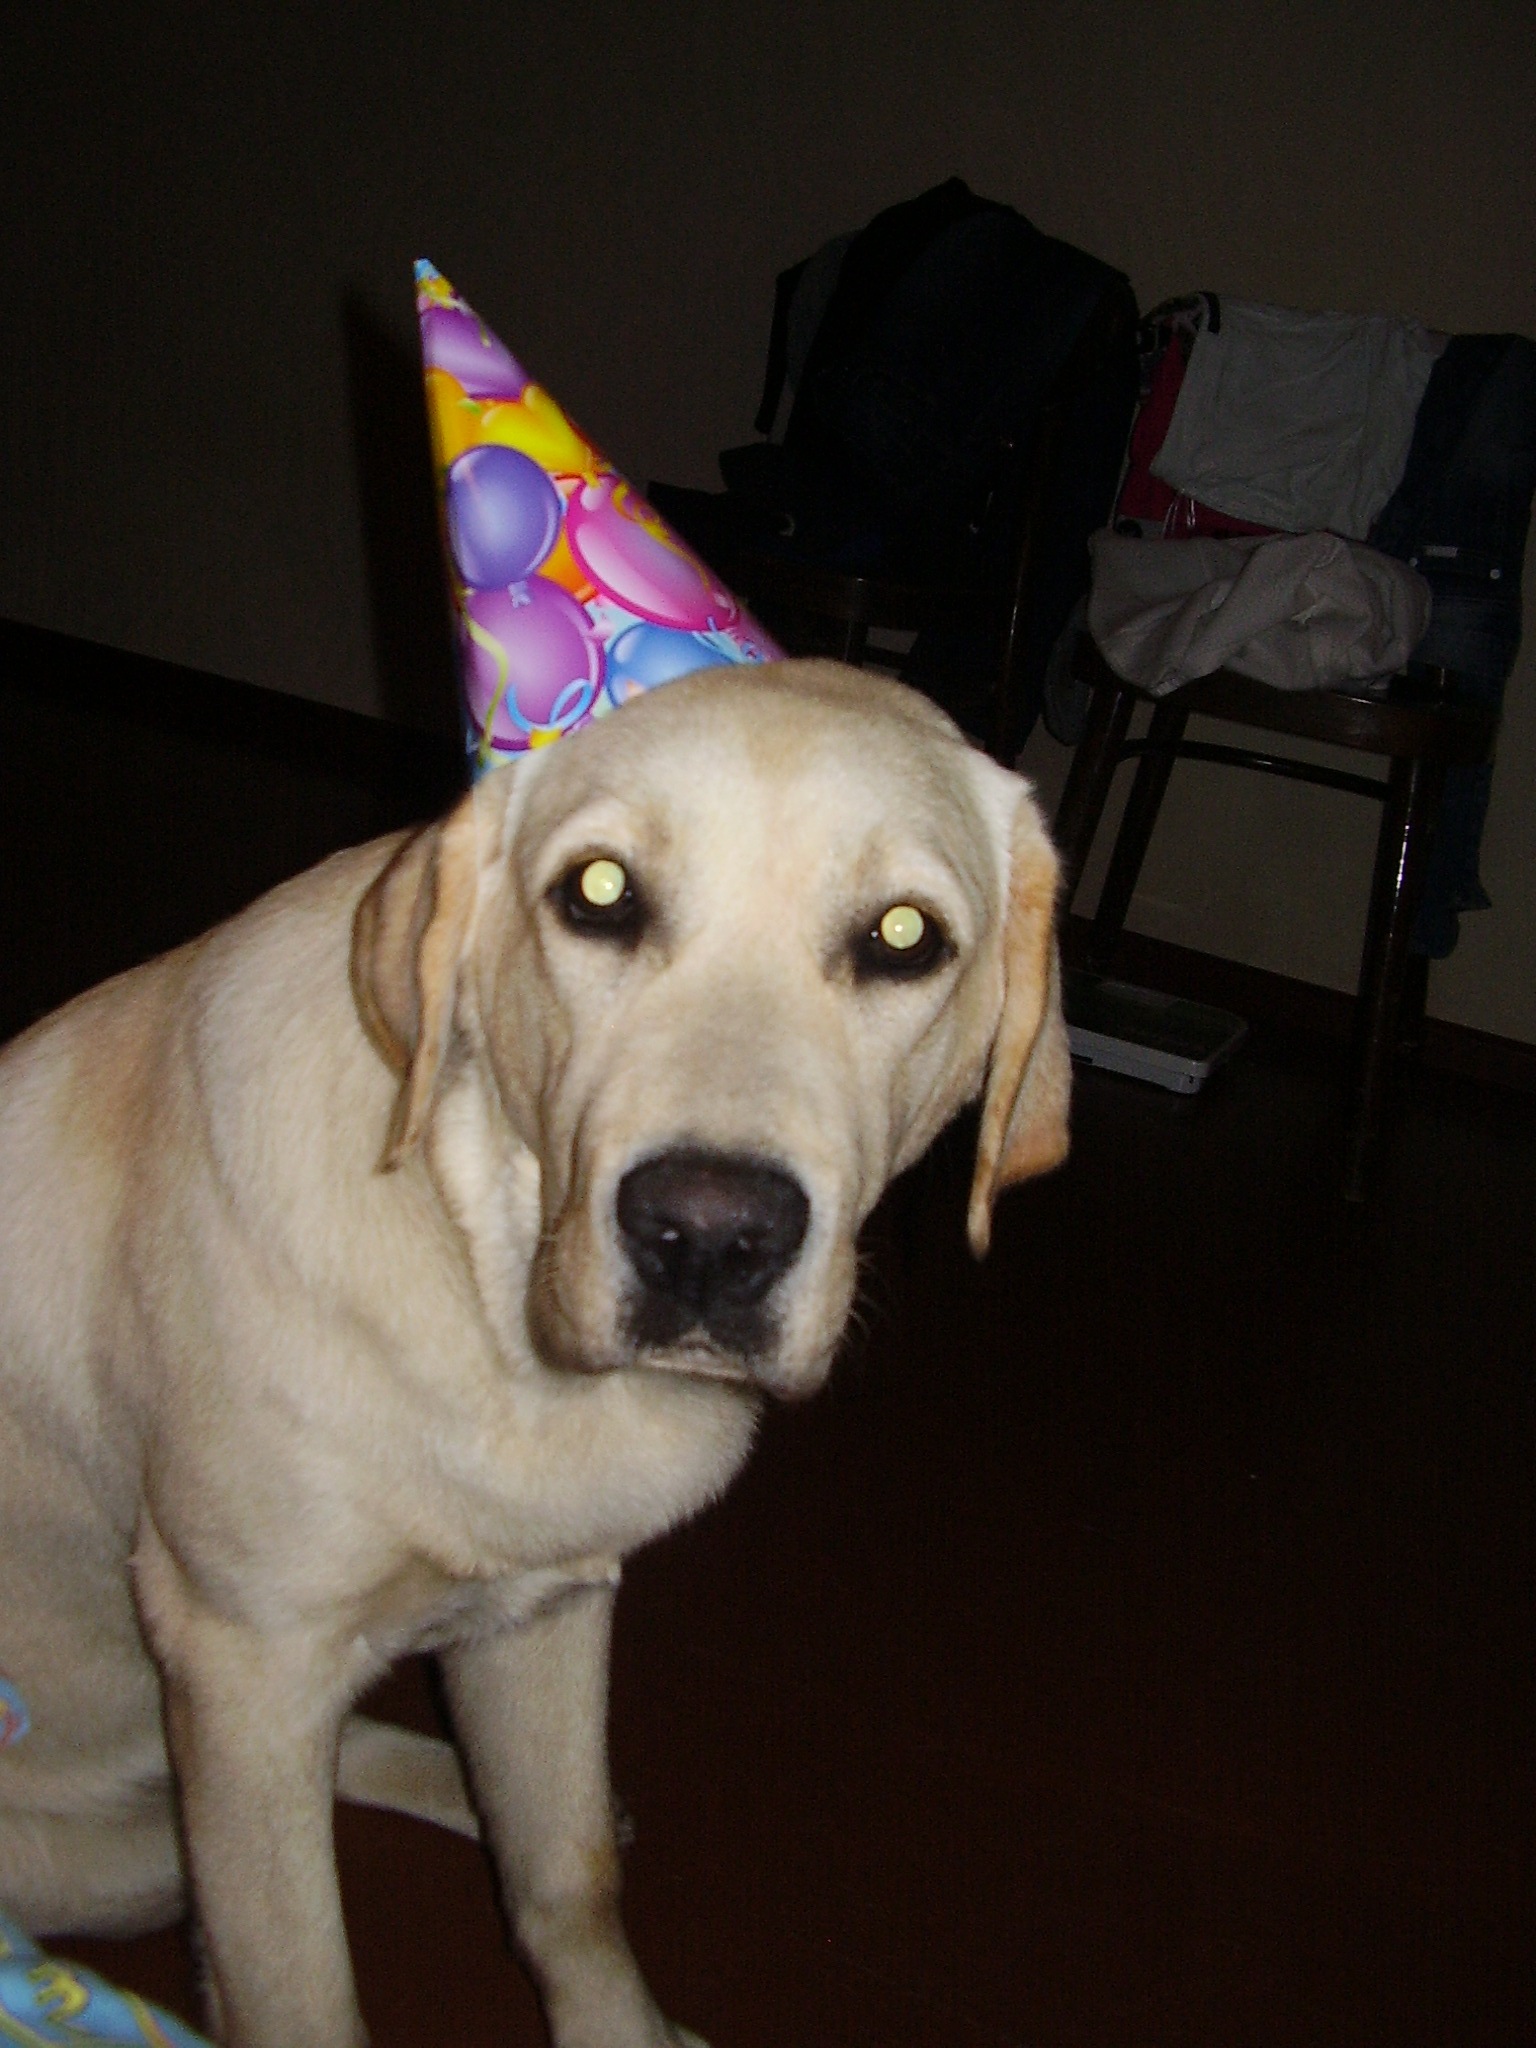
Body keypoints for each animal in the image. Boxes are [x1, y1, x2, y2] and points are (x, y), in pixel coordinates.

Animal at [0, 658, 1068, 2048]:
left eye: (904, 935)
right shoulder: (244, 1653)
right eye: (598, 892)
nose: (707, 1237)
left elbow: (567, 1880)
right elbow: (301, 1988)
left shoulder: (542, 1603)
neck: (485, 1277)